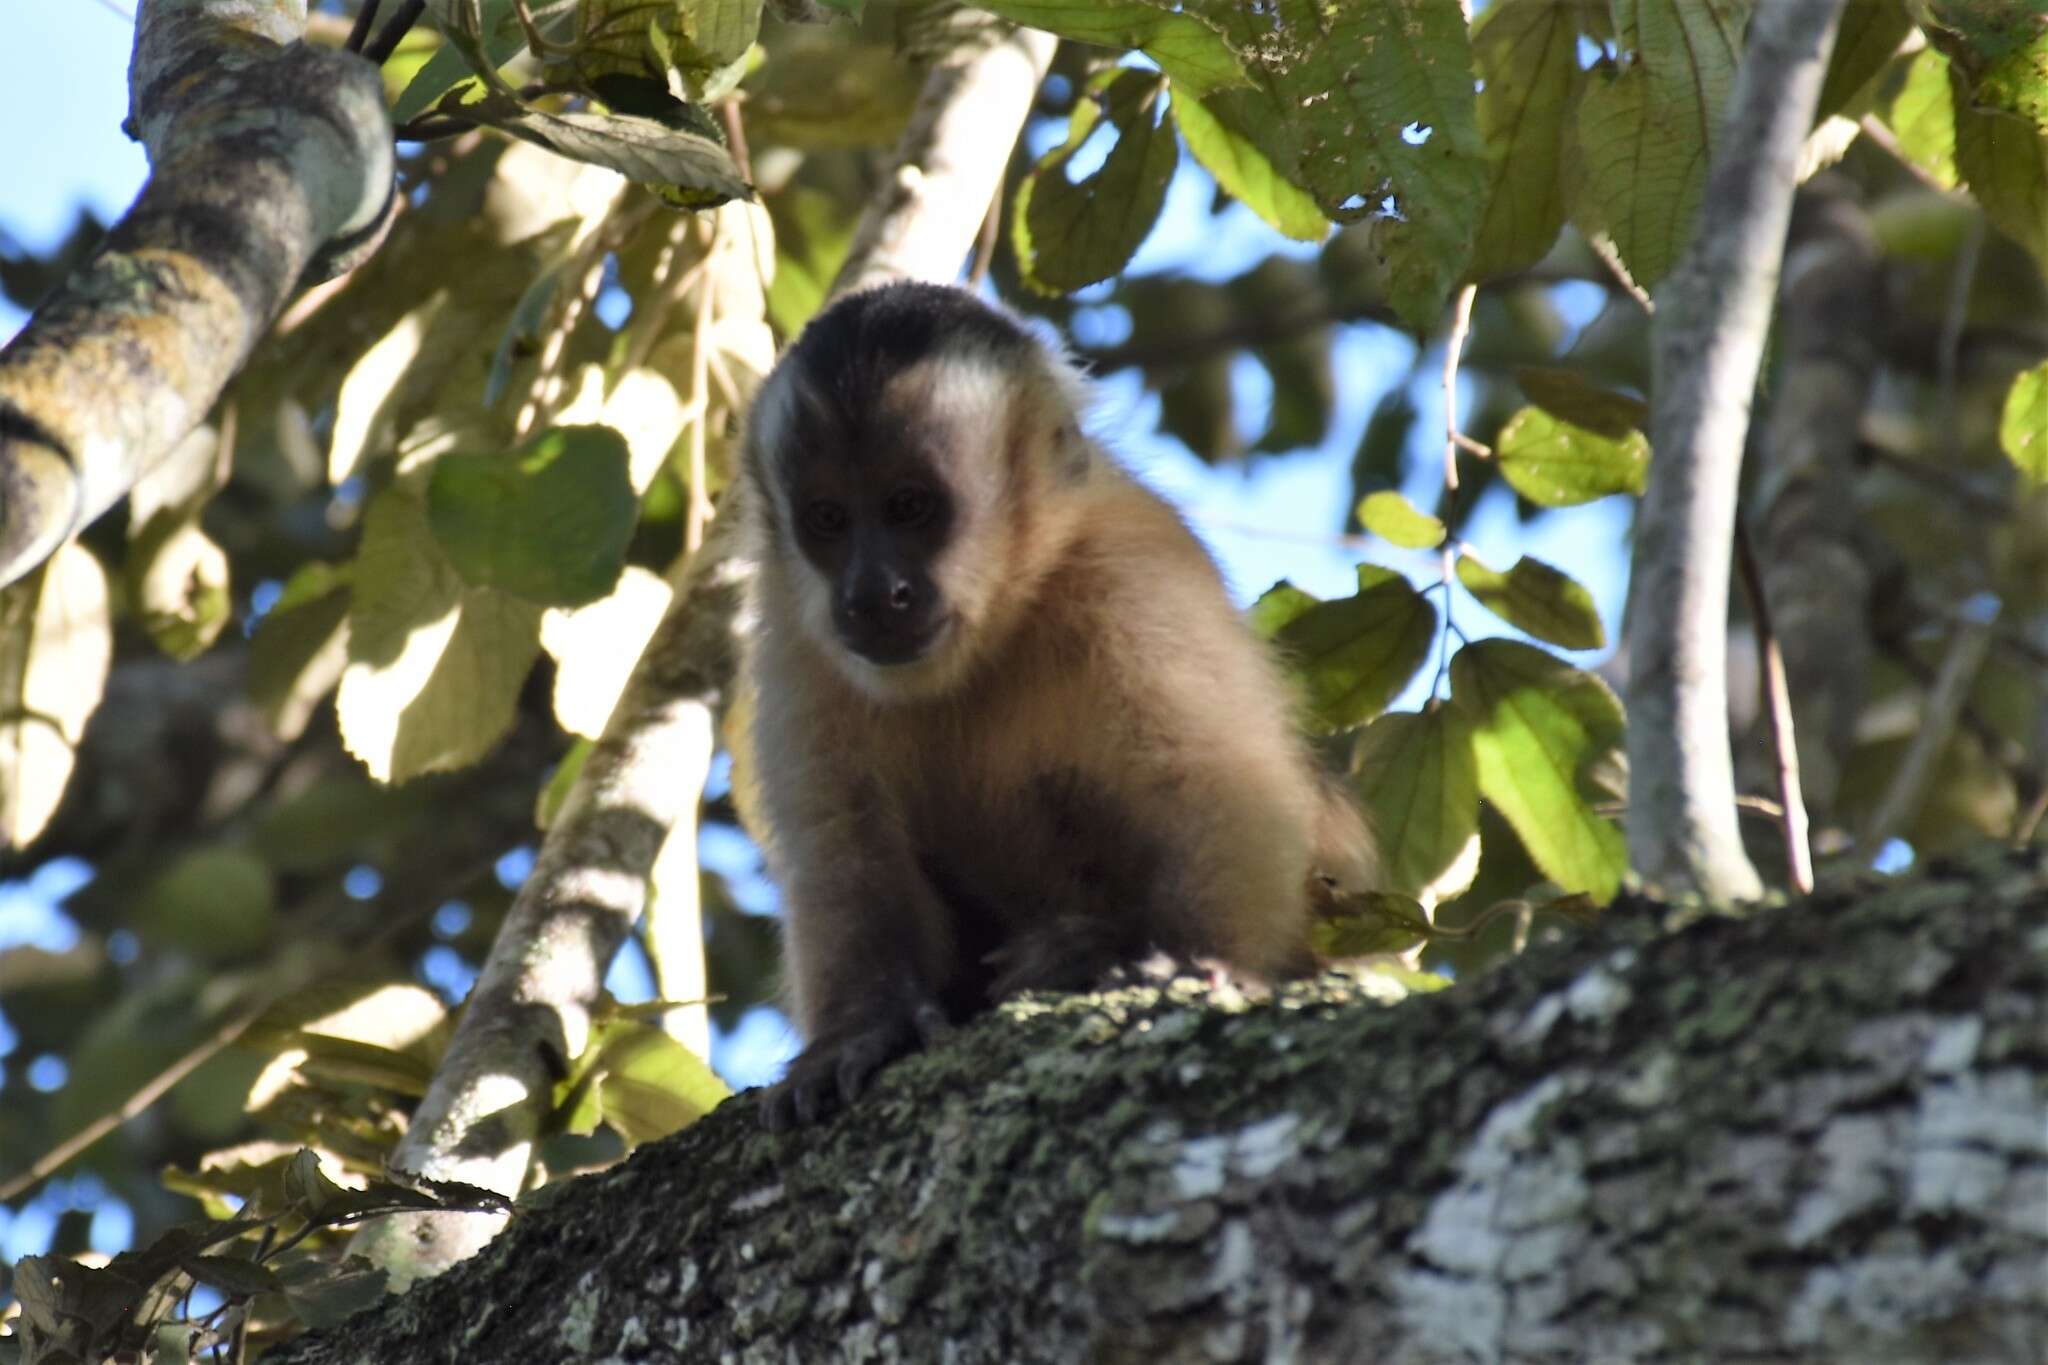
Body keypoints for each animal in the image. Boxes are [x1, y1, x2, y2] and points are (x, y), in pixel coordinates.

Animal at [737, 280, 1376, 1129]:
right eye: (830, 520)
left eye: (910, 506)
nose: (873, 593)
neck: (1001, 623)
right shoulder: (796, 639)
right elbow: (844, 840)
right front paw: (862, 1029)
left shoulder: (1135, 571)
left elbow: (1215, 786)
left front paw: (1187, 964)